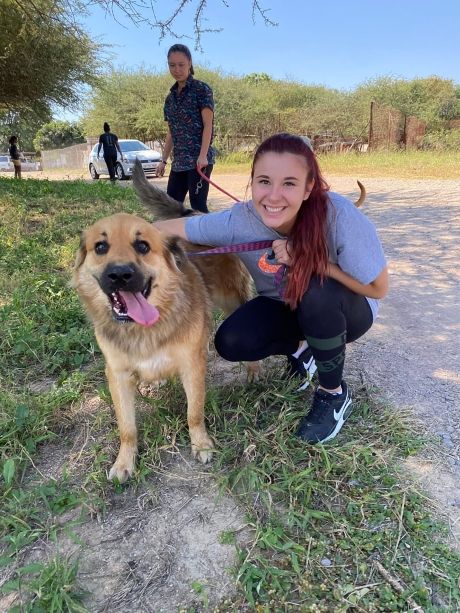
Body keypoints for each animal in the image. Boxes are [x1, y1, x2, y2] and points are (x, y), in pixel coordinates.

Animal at [72, 213, 253, 480]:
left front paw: (201, 445)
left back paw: (254, 370)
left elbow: (194, 412)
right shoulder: (117, 375)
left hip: (231, 300)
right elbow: (127, 427)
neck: (144, 329)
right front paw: (124, 461)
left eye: (143, 246)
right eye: (101, 247)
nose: (120, 275)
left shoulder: (192, 364)